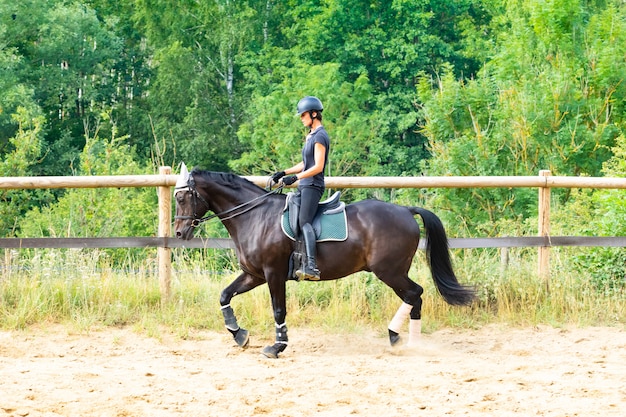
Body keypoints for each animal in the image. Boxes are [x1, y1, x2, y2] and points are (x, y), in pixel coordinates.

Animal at [172, 163, 472, 358]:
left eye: (183, 196)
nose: (179, 233)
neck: (255, 216)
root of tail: (405, 211)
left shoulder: (273, 273)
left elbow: (278, 310)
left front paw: (277, 347)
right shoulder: (254, 275)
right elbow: (224, 295)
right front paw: (239, 335)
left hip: (390, 271)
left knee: (414, 293)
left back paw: (397, 336)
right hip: (392, 272)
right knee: (415, 297)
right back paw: (408, 341)